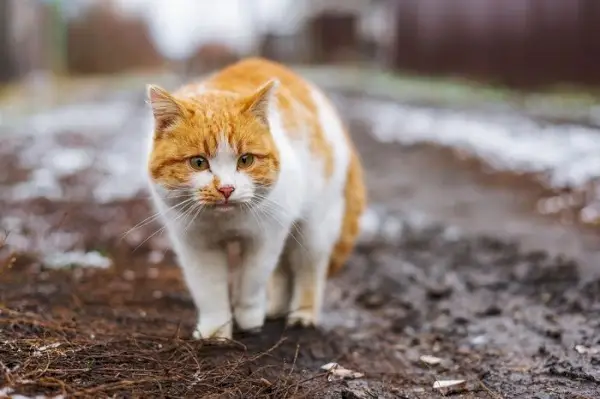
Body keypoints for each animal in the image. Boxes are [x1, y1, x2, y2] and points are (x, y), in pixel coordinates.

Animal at [144, 58, 366, 340]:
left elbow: (252, 281)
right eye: (198, 163)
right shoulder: (196, 245)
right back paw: (275, 310)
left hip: (312, 229)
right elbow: (209, 291)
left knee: (309, 270)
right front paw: (216, 332)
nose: (226, 189)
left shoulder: (266, 236)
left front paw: (248, 319)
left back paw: (302, 315)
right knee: (283, 271)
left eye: (246, 160)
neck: (225, 223)